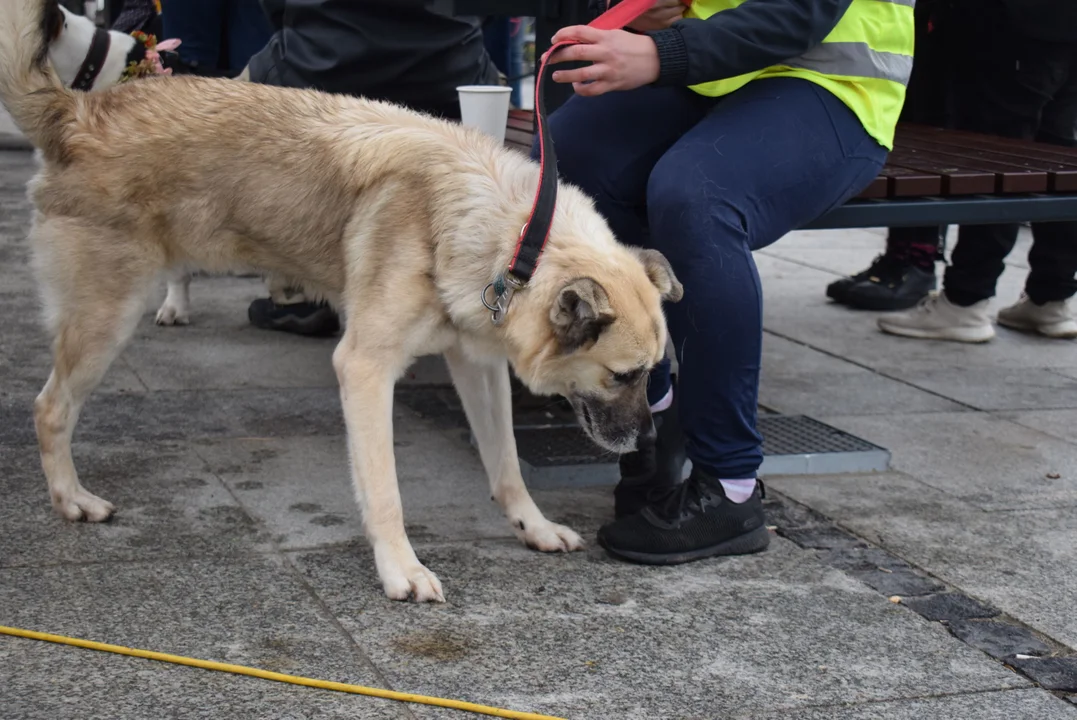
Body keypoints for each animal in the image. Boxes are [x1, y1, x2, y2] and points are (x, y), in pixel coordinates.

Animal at [2, 0, 680, 602]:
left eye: (658, 374)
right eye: (625, 376)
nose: (651, 444)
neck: (516, 236)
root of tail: (78, 111)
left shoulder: (479, 367)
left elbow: (507, 463)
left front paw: (532, 526)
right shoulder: (363, 369)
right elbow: (384, 491)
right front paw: (401, 569)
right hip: (106, 320)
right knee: (49, 408)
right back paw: (70, 499)